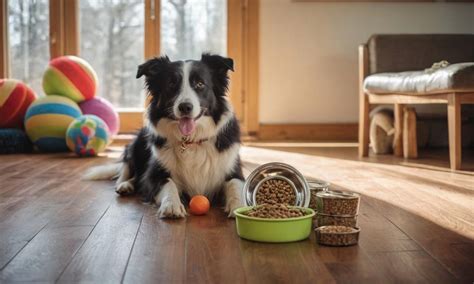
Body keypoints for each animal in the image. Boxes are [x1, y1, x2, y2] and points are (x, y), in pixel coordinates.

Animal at [85, 53, 246, 217]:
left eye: (200, 84)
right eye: (171, 84)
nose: (185, 107)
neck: (190, 141)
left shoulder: (233, 171)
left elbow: (236, 185)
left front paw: (239, 207)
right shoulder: (155, 174)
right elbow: (167, 184)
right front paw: (172, 205)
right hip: (138, 141)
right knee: (129, 170)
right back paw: (125, 185)